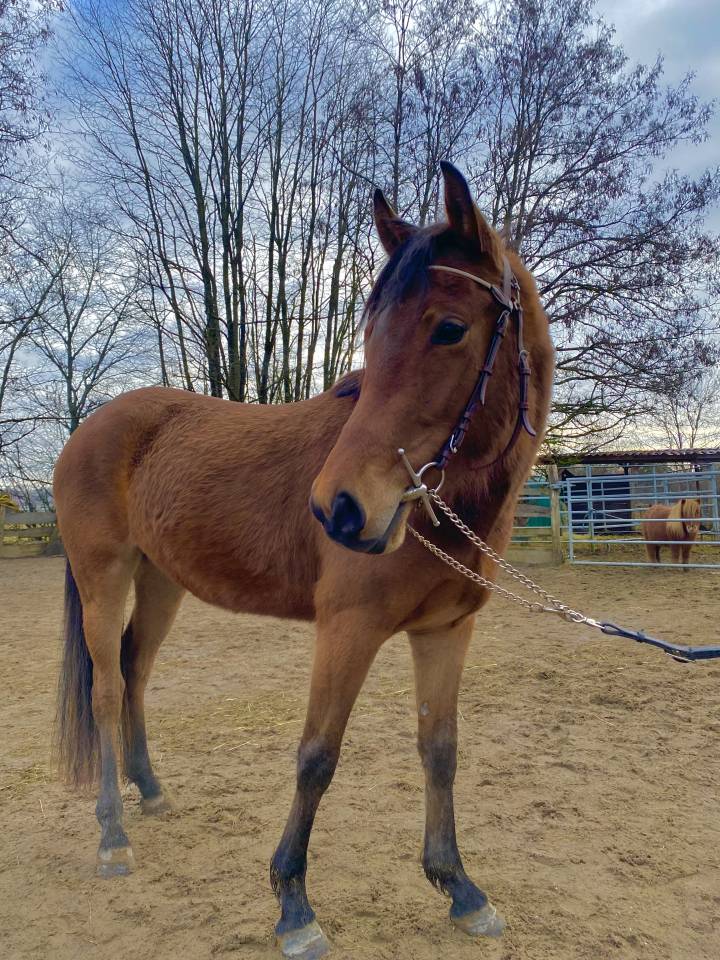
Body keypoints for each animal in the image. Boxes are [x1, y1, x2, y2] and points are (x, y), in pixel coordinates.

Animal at [53, 162, 554, 959]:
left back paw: (151, 793)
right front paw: (293, 905)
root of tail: (88, 430)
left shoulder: (445, 632)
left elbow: (439, 749)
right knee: (104, 690)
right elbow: (317, 756)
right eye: (372, 333)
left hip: (161, 584)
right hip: (103, 578)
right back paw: (112, 835)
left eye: (450, 328)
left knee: (134, 673)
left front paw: (459, 888)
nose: (339, 509)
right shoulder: (347, 630)